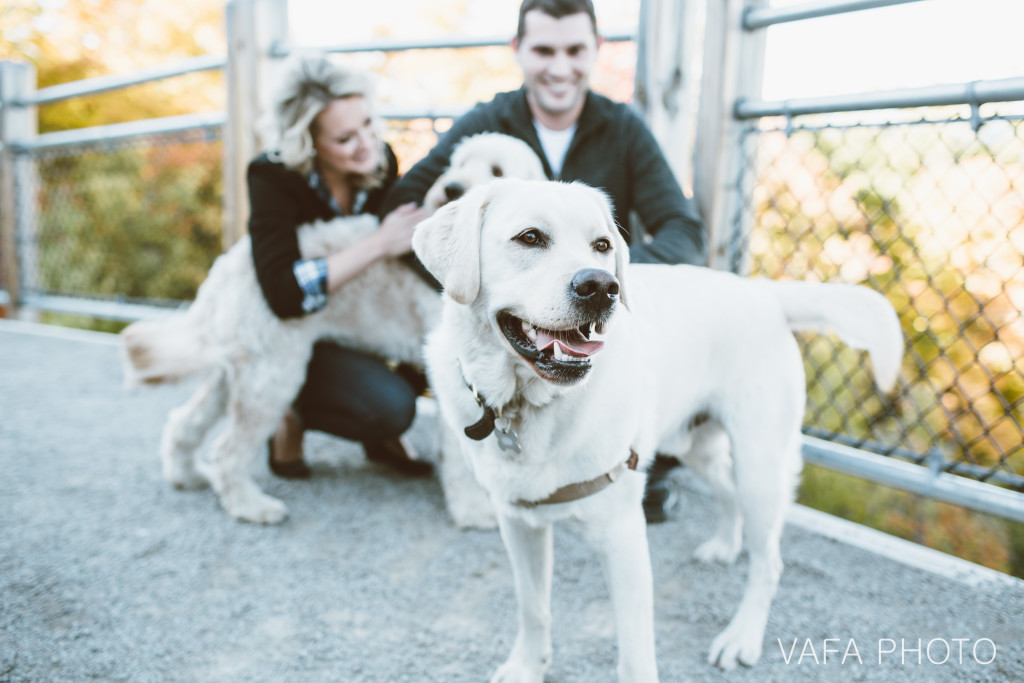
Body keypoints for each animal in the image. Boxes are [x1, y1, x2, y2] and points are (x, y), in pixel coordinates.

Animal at [119, 136, 544, 528]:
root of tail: (228, 265)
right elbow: (463, 453)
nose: (451, 188)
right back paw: (250, 507)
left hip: (237, 371)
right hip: (271, 376)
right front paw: (473, 511)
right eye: (456, 164)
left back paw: (186, 475)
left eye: (496, 170)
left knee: (184, 422)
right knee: (227, 449)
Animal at [411, 179, 901, 679]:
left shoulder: (624, 535)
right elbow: (534, 608)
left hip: (759, 465)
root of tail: (763, 292)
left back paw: (741, 636)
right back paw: (725, 544)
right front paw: (527, 666)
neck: (527, 404)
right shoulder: (518, 522)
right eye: (529, 238)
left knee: (769, 562)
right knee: (727, 492)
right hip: (698, 447)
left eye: (602, 246)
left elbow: (634, 653)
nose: (601, 287)